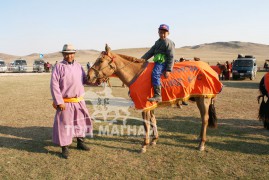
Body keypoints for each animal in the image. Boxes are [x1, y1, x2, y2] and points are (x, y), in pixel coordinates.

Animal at [88, 44, 218, 153]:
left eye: (100, 60)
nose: (88, 76)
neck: (136, 74)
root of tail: (209, 68)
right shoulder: (150, 105)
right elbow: (153, 121)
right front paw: (154, 139)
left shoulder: (144, 105)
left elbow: (146, 124)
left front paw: (144, 145)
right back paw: (199, 138)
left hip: (203, 99)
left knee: (205, 119)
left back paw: (202, 143)